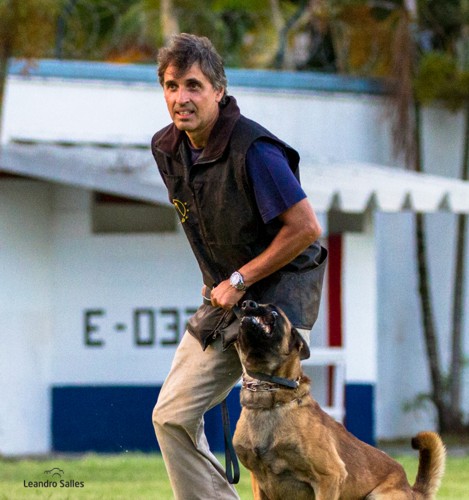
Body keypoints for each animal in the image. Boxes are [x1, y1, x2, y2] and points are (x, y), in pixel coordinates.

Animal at [233, 300, 446, 500]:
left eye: (273, 310)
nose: (246, 303)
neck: (269, 396)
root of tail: (411, 490)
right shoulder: (258, 481)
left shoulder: (329, 477)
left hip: (376, 496)